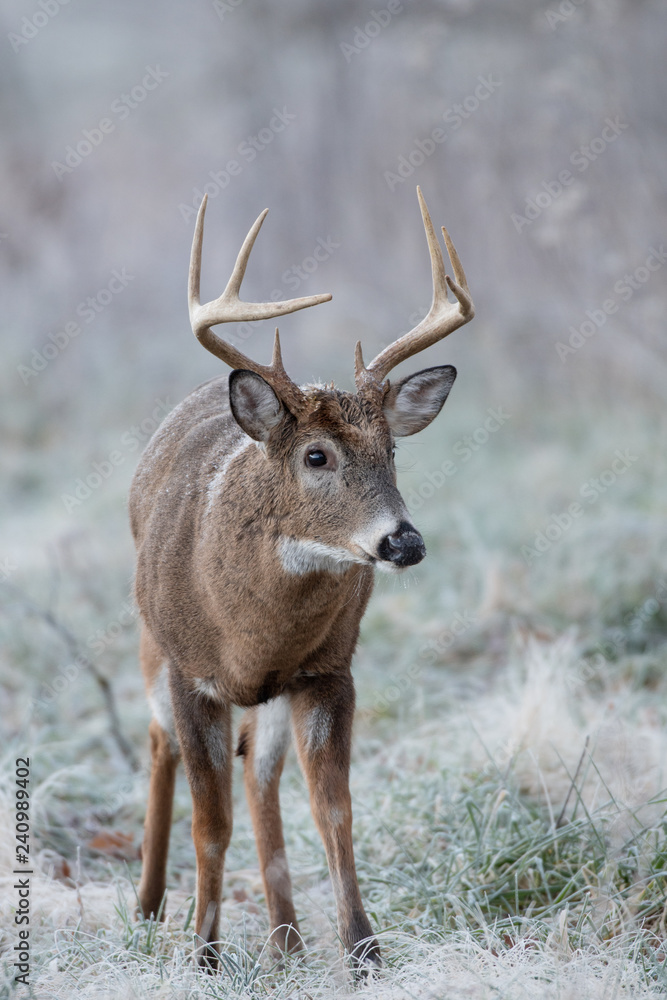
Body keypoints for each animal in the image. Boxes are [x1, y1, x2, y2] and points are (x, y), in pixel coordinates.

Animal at [129, 186, 474, 973]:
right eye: (316, 456)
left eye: (391, 453)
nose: (402, 540)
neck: (250, 632)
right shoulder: (193, 675)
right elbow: (210, 822)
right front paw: (203, 955)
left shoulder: (326, 669)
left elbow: (332, 810)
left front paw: (364, 951)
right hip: (148, 636)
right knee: (161, 745)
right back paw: (146, 910)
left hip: (275, 693)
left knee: (261, 779)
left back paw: (285, 940)